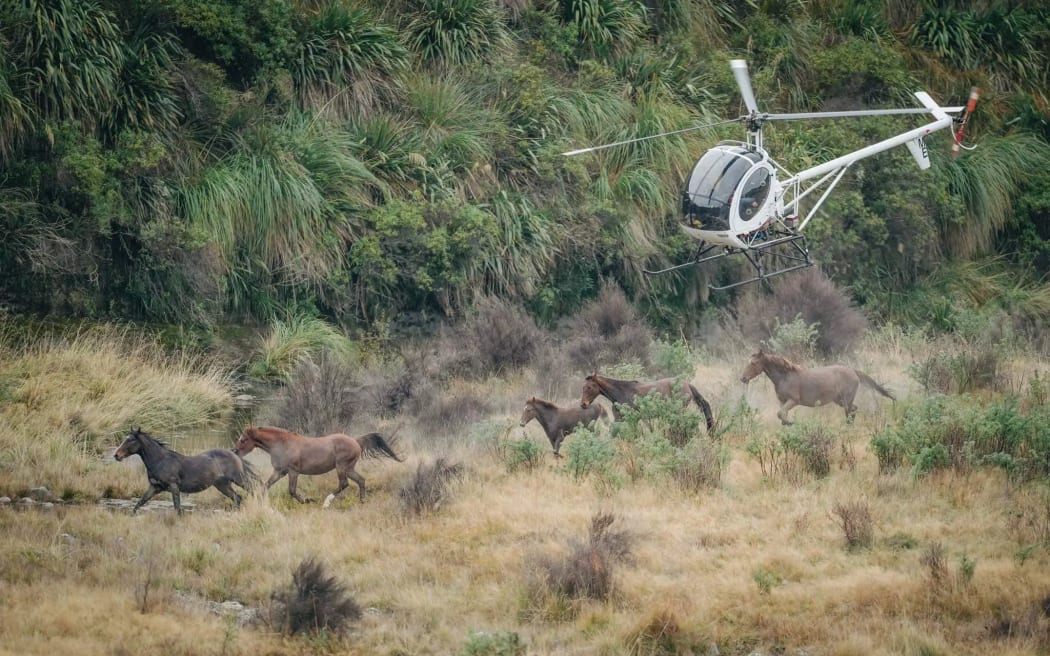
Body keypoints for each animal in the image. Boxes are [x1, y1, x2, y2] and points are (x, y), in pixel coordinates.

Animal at [113, 428, 257, 515]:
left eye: (131, 440)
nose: (116, 455)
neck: (160, 461)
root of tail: (234, 454)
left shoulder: (174, 486)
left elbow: (177, 508)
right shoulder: (154, 487)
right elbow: (139, 503)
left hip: (240, 479)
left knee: (253, 490)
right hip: (222, 485)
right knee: (237, 498)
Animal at [233, 425, 402, 508]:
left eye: (243, 439)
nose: (234, 451)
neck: (282, 445)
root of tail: (355, 441)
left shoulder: (293, 472)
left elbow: (292, 491)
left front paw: (308, 500)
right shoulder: (279, 472)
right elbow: (264, 486)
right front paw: (258, 501)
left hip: (341, 467)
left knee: (344, 483)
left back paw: (326, 503)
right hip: (349, 468)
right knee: (361, 480)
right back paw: (362, 501)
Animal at [579, 373, 715, 431]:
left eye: (590, 387)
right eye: (583, 387)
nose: (583, 404)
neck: (622, 392)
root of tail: (687, 384)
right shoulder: (620, 418)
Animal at [739, 349, 895, 425]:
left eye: (753, 363)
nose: (742, 378)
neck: (785, 376)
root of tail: (853, 371)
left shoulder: (793, 401)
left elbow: (781, 414)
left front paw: (791, 423)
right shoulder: (782, 401)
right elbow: (781, 415)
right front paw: (787, 424)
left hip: (846, 400)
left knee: (851, 411)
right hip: (839, 400)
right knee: (854, 409)